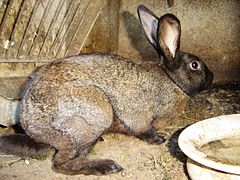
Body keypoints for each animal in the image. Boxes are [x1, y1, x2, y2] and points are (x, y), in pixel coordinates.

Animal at [0, 4, 214, 176]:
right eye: (195, 65)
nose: (212, 77)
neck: (172, 81)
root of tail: (29, 123)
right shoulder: (141, 116)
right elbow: (144, 130)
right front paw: (158, 139)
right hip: (94, 116)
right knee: (61, 164)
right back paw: (106, 167)